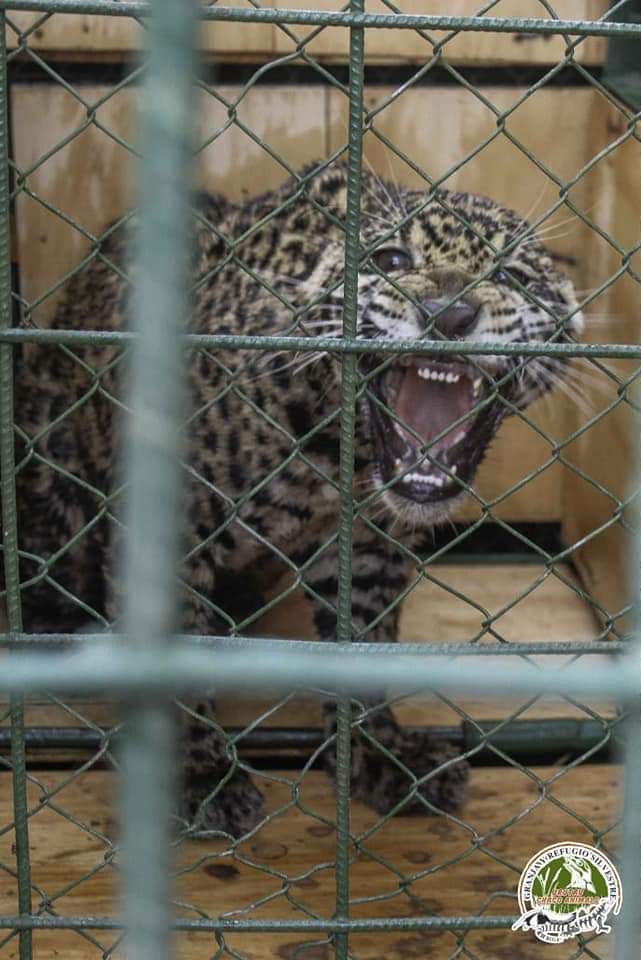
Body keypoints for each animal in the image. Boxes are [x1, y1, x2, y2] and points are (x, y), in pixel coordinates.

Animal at [9, 159, 583, 838]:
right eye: (392, 259)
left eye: (510, 277)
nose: (448, 314)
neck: (340, 452)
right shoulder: (170, 528)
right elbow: (173, 661)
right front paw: (202, 777)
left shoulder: (371, 550)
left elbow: (364, 647)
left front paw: (379, 756)